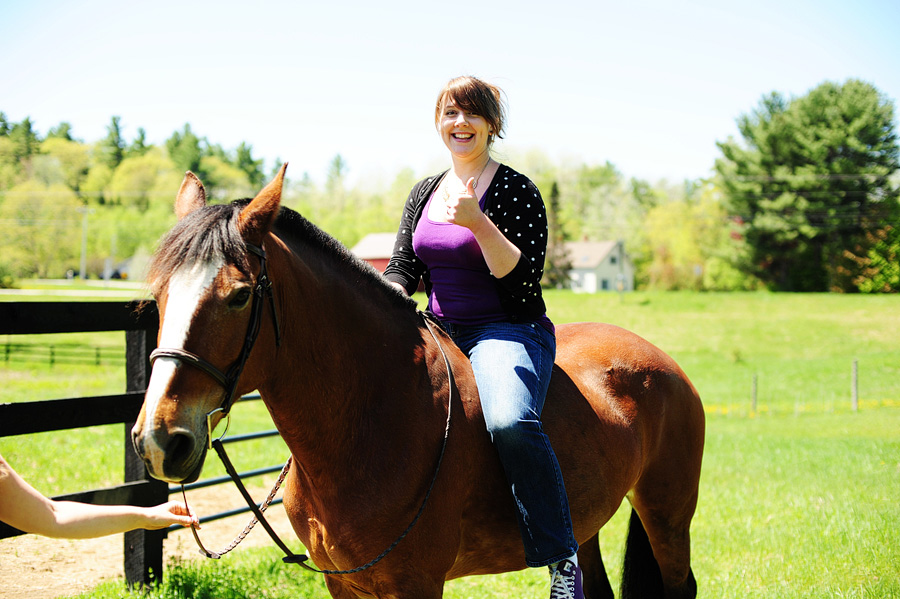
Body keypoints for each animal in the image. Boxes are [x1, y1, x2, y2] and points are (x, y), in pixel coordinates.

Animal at [132, 165, 704, 599]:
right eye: (159, 294)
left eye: (240, 295)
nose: (161, 439)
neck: (371, 416)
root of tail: (664, 364)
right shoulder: (344, 584)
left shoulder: (416, 583)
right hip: (585, 522)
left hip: (668, 516)